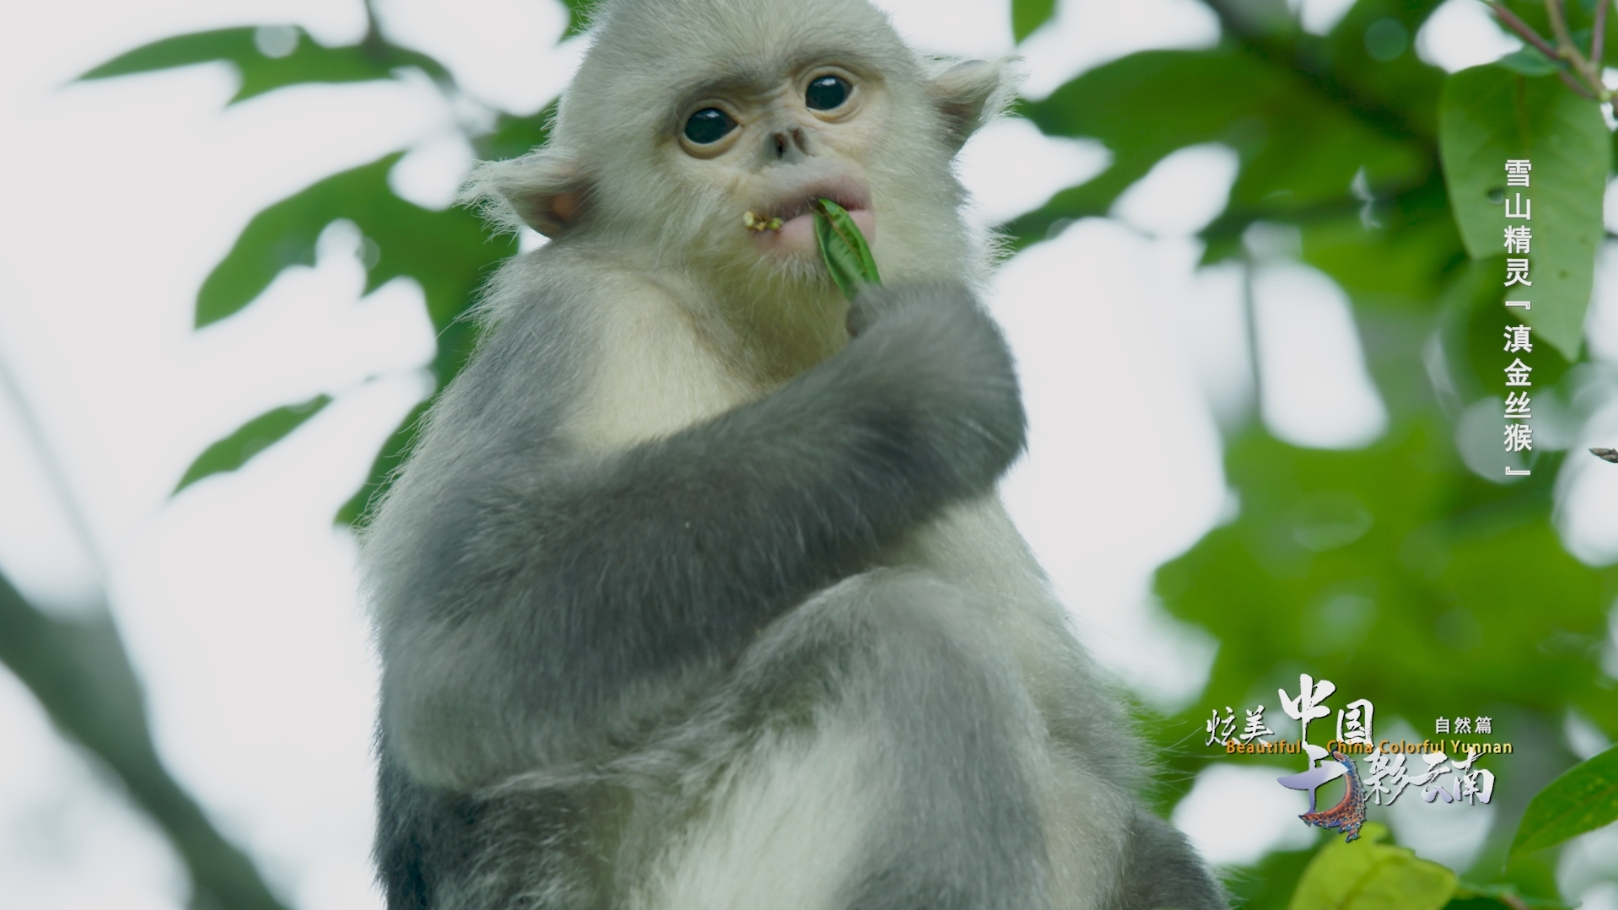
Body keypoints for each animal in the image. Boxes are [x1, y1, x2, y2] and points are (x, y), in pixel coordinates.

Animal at [364, 0, 1223, 900]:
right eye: (709, 126)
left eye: (827, 93)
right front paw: (914, 386)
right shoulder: (583, 319)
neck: (753, 344)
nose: (788, 141)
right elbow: (455, 659)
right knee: (914, 637)